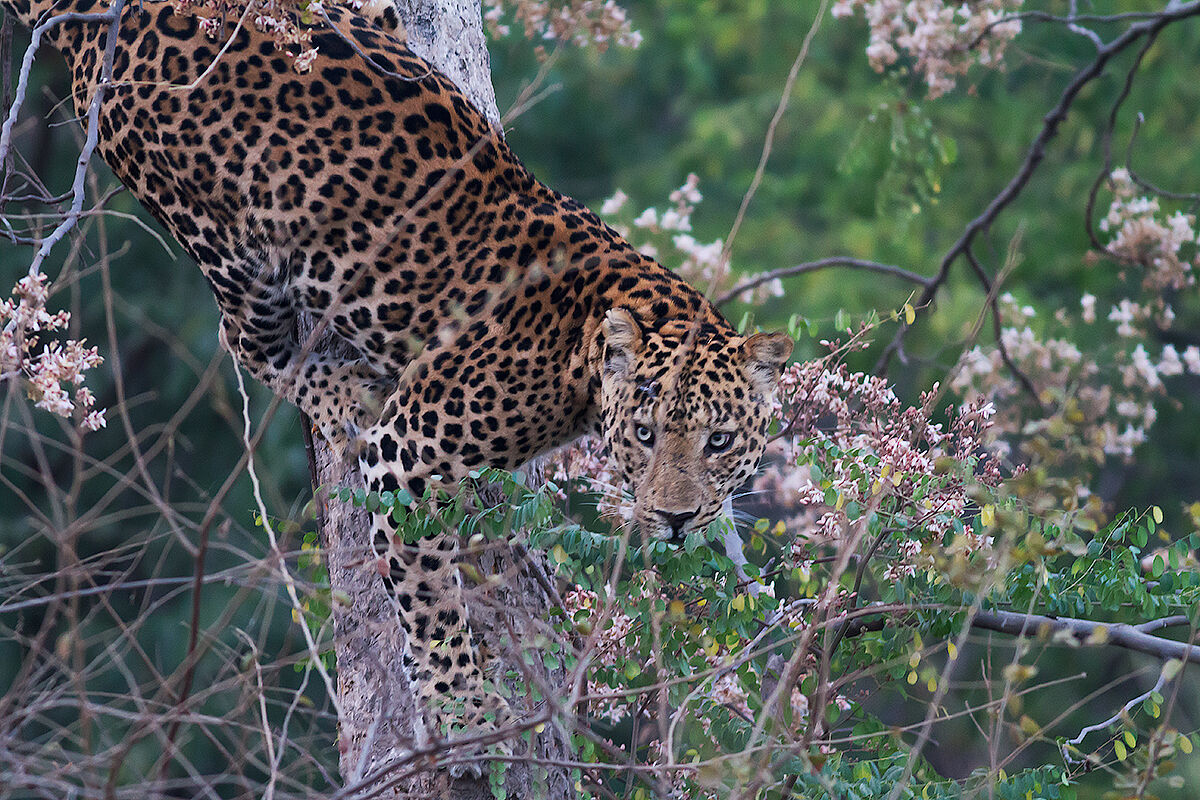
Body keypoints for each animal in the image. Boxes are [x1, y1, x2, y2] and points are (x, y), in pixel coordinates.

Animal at [0, 0, 793, 753]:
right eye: (644, 433)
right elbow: (428, 600)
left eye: (720, 442)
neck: (583, 350)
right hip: (228, 245)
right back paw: (344, 394)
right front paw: (462, 709)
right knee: (251, 344)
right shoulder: (406, 453)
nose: (677, 518)